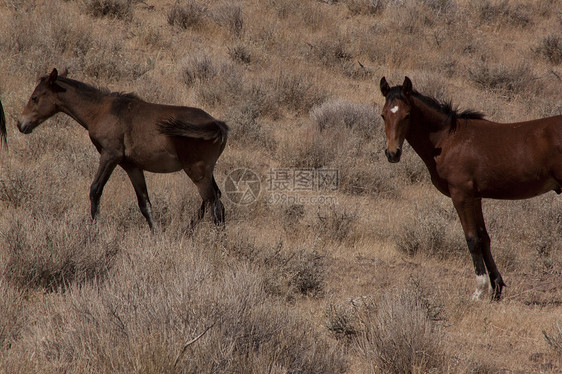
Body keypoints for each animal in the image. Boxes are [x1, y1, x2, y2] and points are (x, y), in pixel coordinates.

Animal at [17, 68, 228, 229]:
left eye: (35, 97)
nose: (21, 124)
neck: (100, 111)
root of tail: (217, 124)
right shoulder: (132, 166)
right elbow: (145, 204)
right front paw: (156, 235)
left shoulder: (110, 155)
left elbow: (95, 190)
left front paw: (95, 231)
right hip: (205, 171)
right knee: (216, 200)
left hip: (197, 171)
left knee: (214, 204)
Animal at [376, 76, 560, 300]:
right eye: (383, 115)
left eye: (407, 115)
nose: (392, 153)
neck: (448, 140)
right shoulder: (475, 198)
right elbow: (483, 238)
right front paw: (496, 288)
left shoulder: (461, 196)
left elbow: (472, 239)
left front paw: (479, 291)